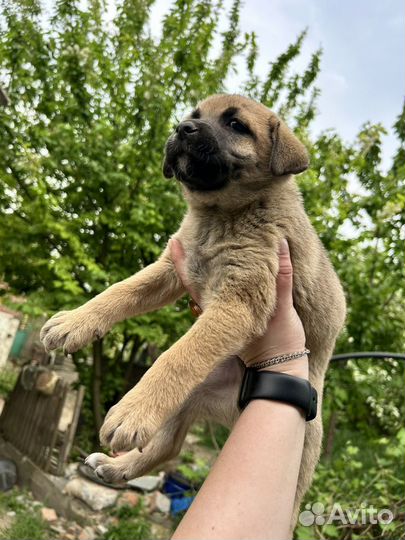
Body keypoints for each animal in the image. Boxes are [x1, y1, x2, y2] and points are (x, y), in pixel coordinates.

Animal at [40, 95, 344, 524]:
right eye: (195, 116)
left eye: (236, 125)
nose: (181, 128)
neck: (221, 215)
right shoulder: (172, 268)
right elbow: (119, 291)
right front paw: (75, 322)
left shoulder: (238, 301)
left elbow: (178, 355)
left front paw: (133, 411)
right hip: (186, 401)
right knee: (166, 448)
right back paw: (115, 468)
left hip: (301, 453)